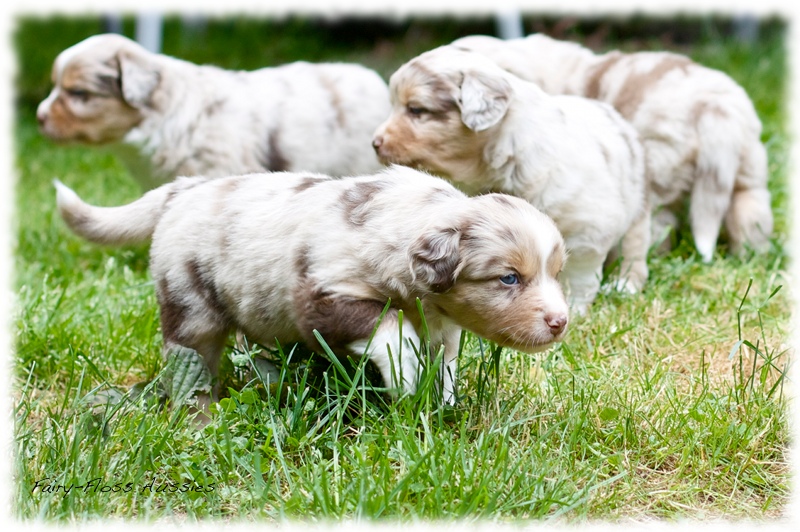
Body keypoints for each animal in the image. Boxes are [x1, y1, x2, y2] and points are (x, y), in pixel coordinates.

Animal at [54, 166, 568, 408]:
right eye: (509, 278)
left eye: (556, 273)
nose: (560, 323)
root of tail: (185, 189)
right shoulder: (322, 295)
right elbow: (390, 326)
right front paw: (405, 379)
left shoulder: (444, 326)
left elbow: (444, 364)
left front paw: (442, 404)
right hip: (189, 303)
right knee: (192, 364)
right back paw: (201, 414)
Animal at [372, 45, 648, 314]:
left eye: (416, 110)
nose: (375, 143)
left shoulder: (589, 228)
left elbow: (579, 276)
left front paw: (575, 309)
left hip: (635, 209)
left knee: (633, 246)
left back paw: (625, 284)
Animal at [454, 33, 772, 262]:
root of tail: (716, 110)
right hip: (749, 168)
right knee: (750, 213)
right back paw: (749, 257)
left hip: (657, 169)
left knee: (656, 224)